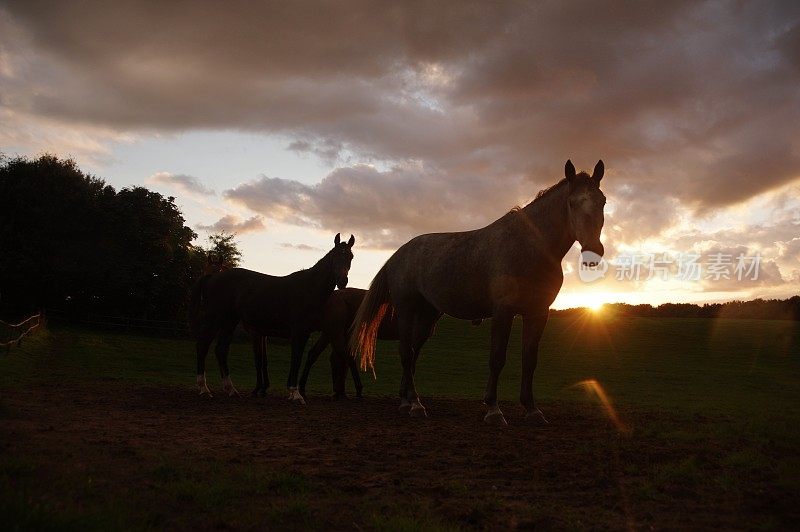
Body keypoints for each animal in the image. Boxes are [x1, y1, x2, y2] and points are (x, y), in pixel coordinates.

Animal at [189, 231, 354, 402]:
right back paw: (204, 388)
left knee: (221, 349)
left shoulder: (303, 333)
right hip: (214, 319)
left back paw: (231, 389)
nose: (342, 281)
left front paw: (290, 392)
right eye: (335, 256)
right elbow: (295, 358)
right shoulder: (297, 332)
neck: (308, 289)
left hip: (229, 321)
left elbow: (294, 359)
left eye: (350, 257)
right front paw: (295, 394)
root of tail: (212, 277)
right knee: (203, 346)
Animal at [352, 160, 608, 426]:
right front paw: (493, 409)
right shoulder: (503, 312)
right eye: (572, 203)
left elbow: (530, 360)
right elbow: (497, 358)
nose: (593, 252)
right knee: (406, 352)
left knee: (412, 355)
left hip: (427, 317)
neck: (528, 248)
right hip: (407, 311)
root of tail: (400, 253)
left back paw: (405, 400)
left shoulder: (538, 313)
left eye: (602, 201)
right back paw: (415, 404)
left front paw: (532, 409)